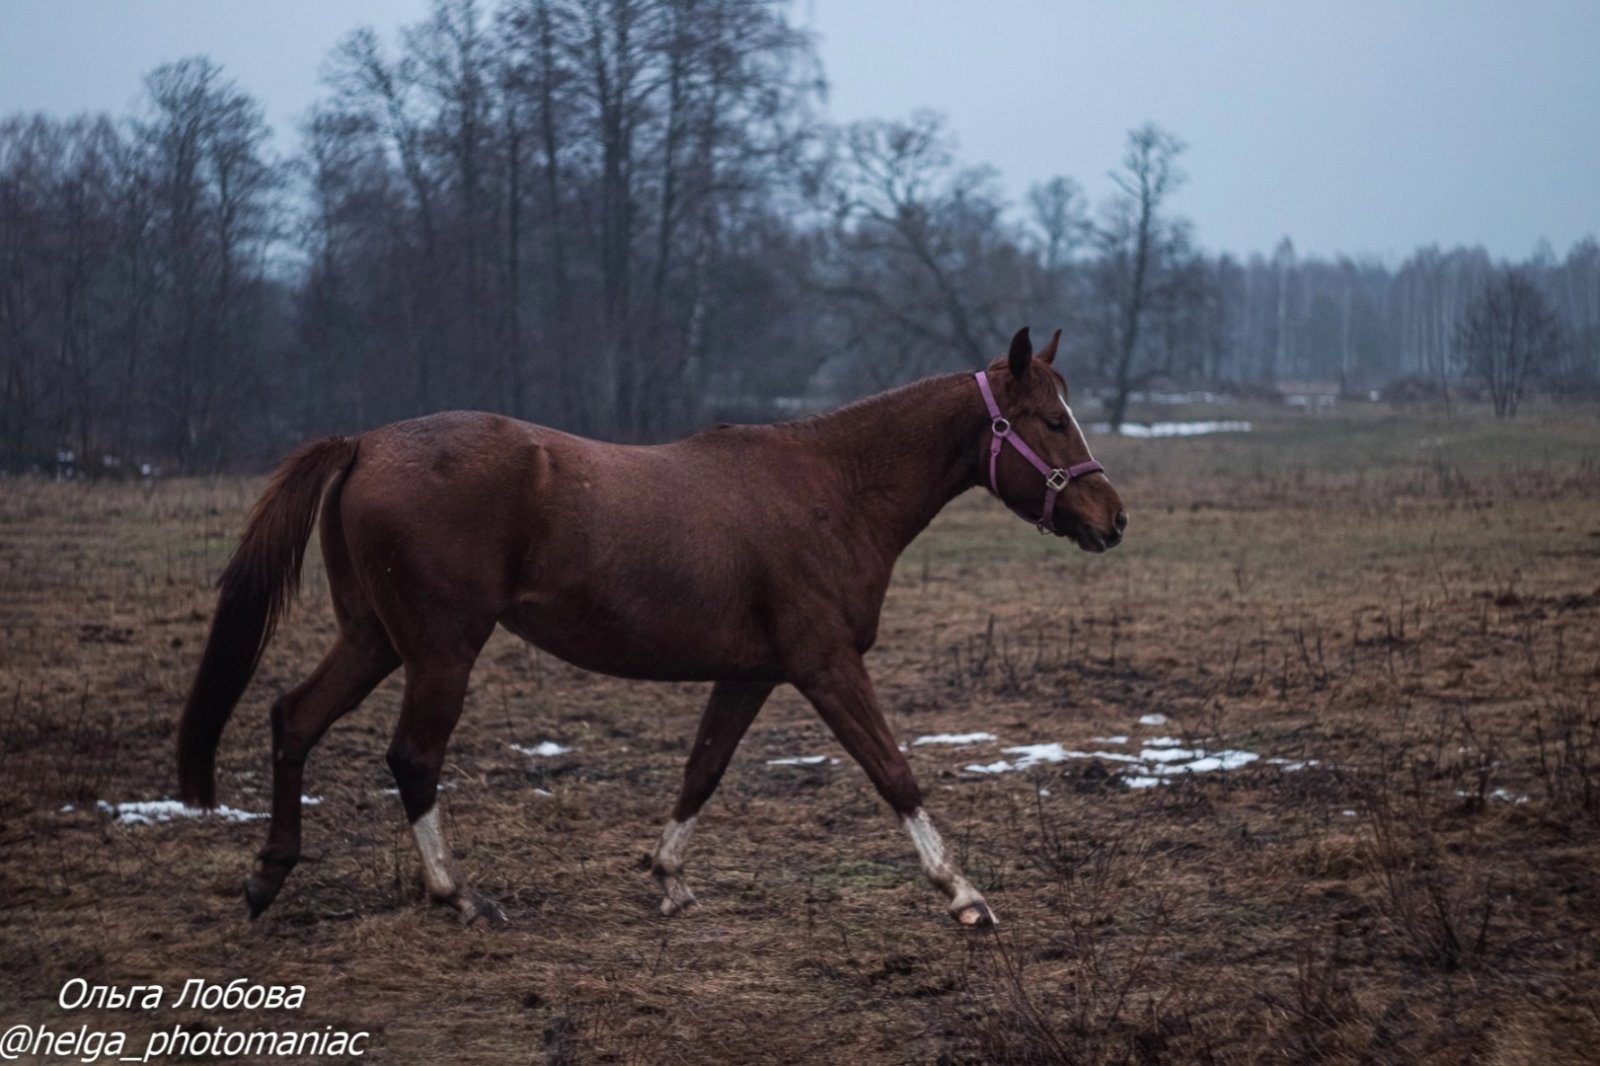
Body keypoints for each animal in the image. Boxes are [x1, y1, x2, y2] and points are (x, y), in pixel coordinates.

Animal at [176, 326, 1125, 928]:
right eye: (1051, 421)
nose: (1112, 519)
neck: (832, 489)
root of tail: (366, 443)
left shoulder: (752, 672)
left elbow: (702, 771)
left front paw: (668, 879)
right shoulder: (825, 664)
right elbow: (893, 772)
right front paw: (962, 894)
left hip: (375, 638)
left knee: (294, 719)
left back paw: (269, 877)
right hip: (441, 651)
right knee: (411, 758)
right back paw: (458, 895)